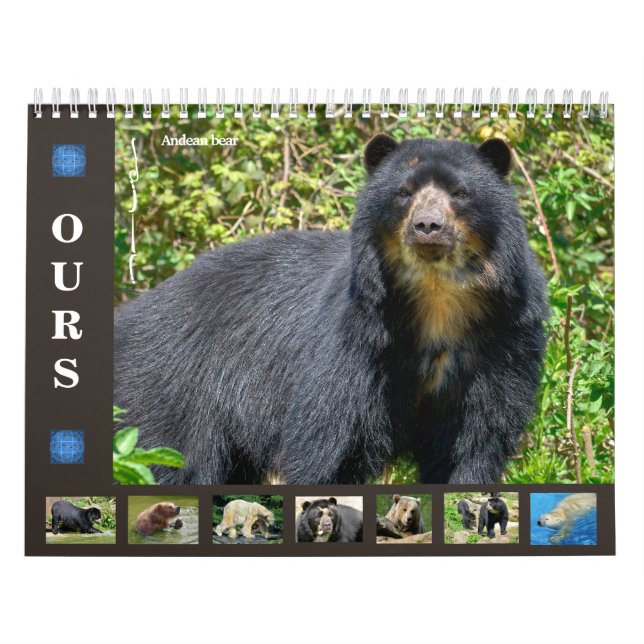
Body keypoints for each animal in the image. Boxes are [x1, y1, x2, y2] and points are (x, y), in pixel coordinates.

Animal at [113, 134, 548, 485]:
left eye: (459, 192)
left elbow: (474, 444)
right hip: (170, 392)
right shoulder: (354, 344)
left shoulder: (503, 343)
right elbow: (329, 443)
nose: (427, 226)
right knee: (168, 462)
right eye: (404, 192)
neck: (436, 297)